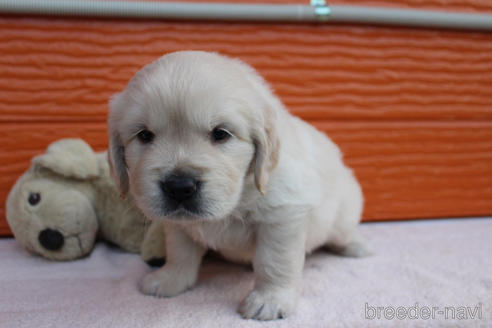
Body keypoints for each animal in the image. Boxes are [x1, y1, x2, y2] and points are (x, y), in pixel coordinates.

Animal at [108, 50, 366, 320]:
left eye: (220, 133)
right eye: (144, 135)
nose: (179, 187)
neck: (240, 193)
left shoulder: (283, 214)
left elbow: (275, 260)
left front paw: (269, 300)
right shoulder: (179, 224)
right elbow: (180, 251)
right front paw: (170, 279)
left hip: (343, 212)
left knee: (344, 230)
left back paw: (356, 246)